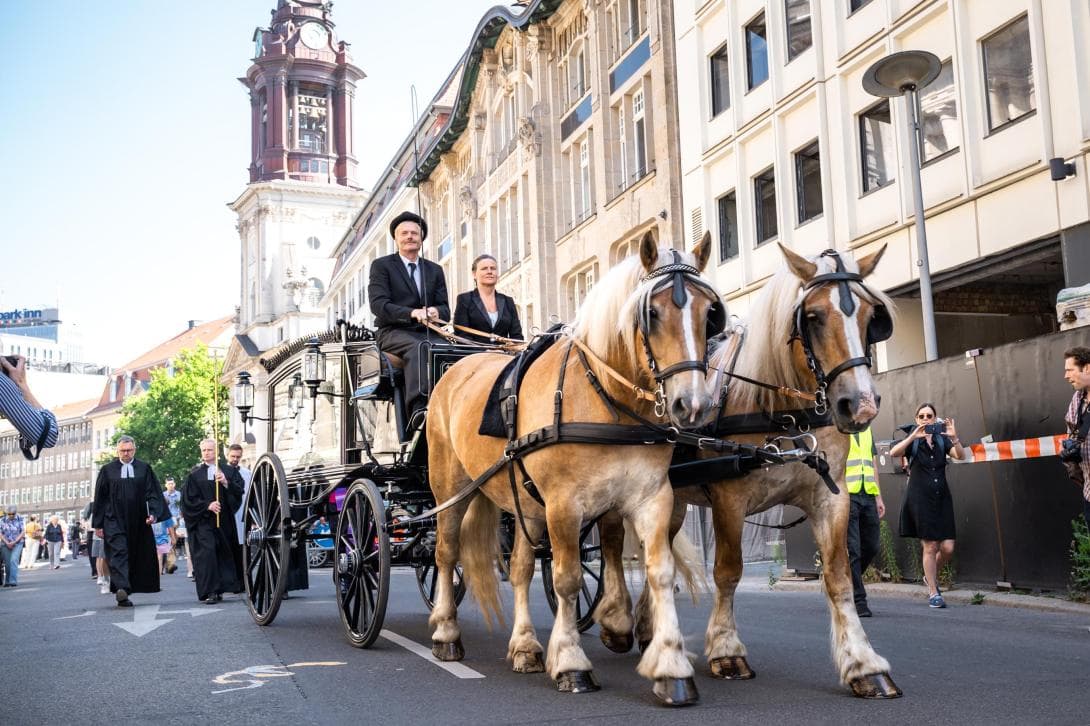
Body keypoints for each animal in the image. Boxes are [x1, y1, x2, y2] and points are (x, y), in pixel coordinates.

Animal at [425, 230, 723, 702]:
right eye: (651, 313)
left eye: (709, 312)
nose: (691, 405)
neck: (607, 401)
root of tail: (461, 365)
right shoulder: (564, 506)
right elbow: (566, 579)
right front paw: (570, 661)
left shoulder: (653, 498)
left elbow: (660, 572)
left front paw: (671, 667)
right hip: (451, 488)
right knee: (446, 552)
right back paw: (446, 633)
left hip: (524, 500)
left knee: (520, 568)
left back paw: (525, 646)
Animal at [597, 243, 902, 697]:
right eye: (813, 316)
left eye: (870, 315)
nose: (860, 404)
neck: (783, 413)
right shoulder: (730, 500)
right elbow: (728, 571)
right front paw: (726, 651)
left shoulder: (830, 498)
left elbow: (839, 575)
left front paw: (864, 664)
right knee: (612, 543)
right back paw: (615, 621)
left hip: (670, 500)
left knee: (659, 547)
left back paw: (649, 629)